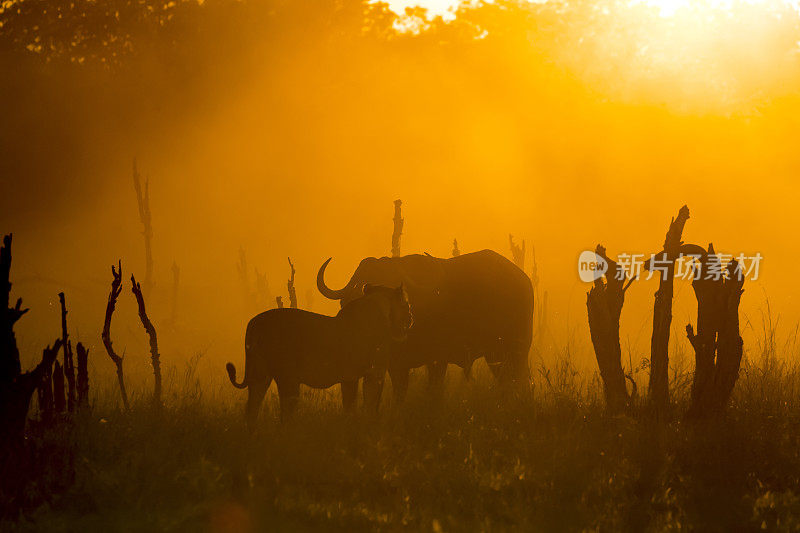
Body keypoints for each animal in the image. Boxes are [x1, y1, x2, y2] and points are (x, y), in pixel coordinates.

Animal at [227, 282, 410, 428]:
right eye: (407, 305)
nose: (411, 317)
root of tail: (254, 322)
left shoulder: (361, 376)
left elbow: (360, 406)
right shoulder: (365, 374)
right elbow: (361, 407)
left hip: (260, 374)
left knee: (252, 409)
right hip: (288, 378)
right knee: (285, 415)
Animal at [318, 249, 532, 400]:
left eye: (389, 279)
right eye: (362, 280)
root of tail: (523, 280)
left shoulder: (437, 359)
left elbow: (433, 390)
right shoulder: (395, 363)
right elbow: (399, 391)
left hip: (517, 349)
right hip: (496, 354)